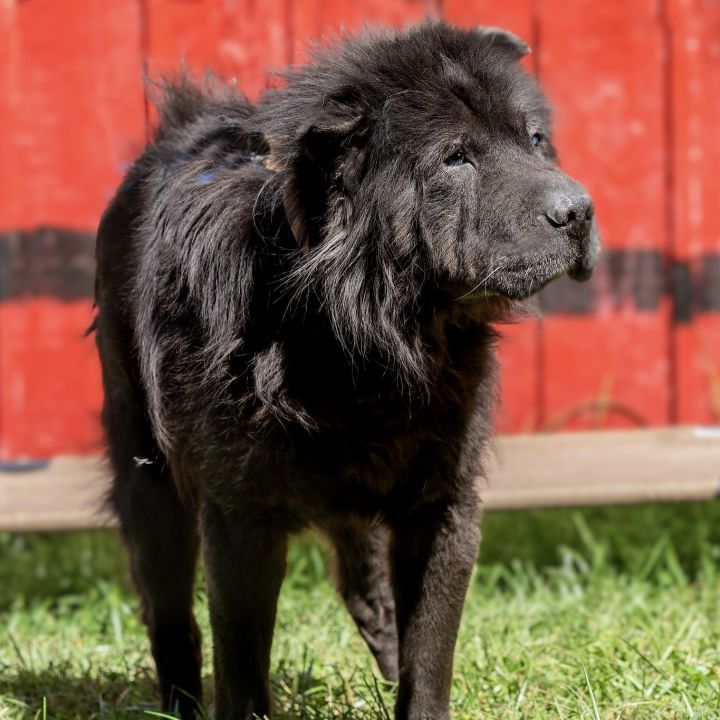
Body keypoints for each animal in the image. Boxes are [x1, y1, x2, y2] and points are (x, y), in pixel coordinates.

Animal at [95, 21, 600, 720]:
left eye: (534, 139)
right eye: (455, 158)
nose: (579, 210)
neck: (357, 336)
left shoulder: (443, 503)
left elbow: (429, 649)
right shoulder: (242, 514)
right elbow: (240, 658)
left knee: (368, 586)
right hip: (150, 481)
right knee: (171, 615)